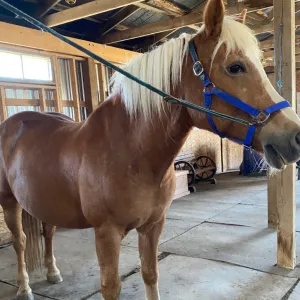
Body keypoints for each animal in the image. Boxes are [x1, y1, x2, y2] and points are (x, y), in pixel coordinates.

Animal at [0, 0, 300, 300]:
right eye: (235, 67)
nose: (294, 135)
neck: (132, 153)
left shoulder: (153, 226)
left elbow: (150, 273)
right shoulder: (106, 233)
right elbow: (111, 286)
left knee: (47, 231)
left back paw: (53, 273)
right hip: (9, 202)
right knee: (20, 241)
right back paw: (24, 287)